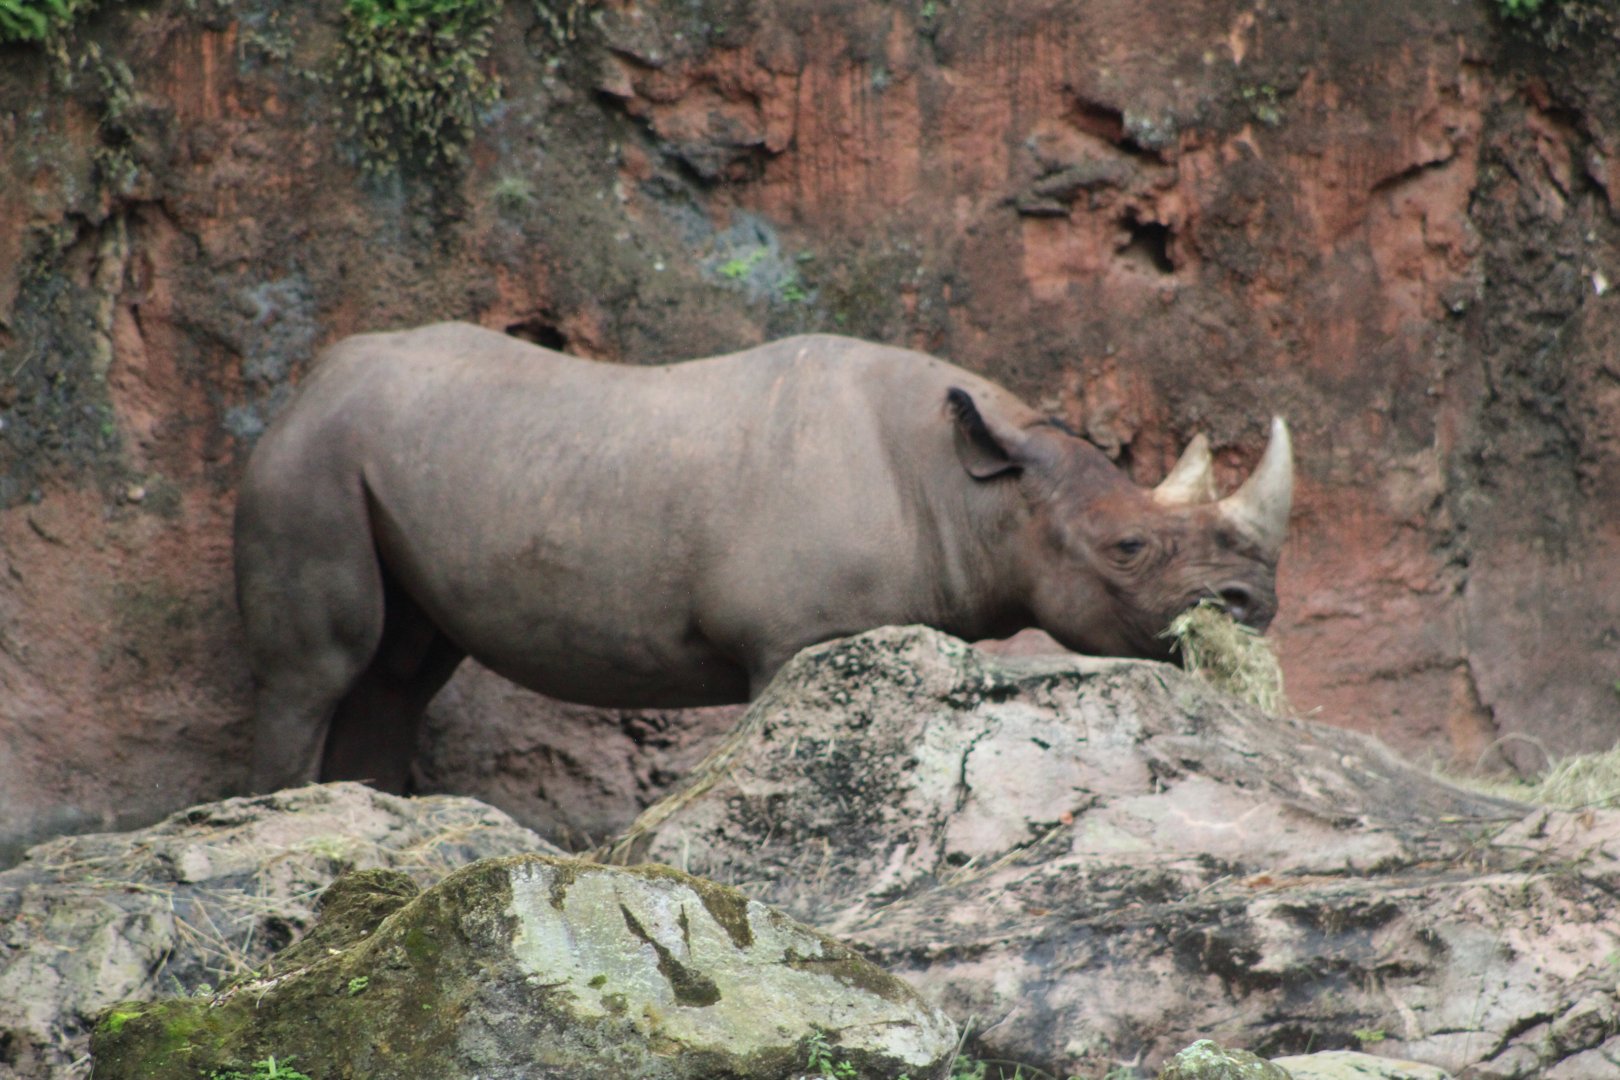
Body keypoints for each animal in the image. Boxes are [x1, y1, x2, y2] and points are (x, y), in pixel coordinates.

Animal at [235, 325, 1292, 793]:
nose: (1255, 603)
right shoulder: (792, 638)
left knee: (400, 672)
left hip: (392, 453)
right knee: (321, 668)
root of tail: (312, 377)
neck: (976, 488)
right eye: (1130, 547)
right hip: (310, 458)